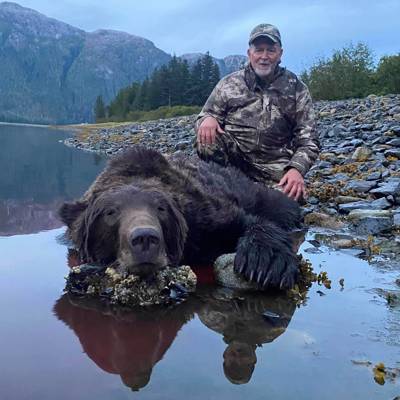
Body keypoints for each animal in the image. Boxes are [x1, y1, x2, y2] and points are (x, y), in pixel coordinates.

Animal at [59, 146, 302, 289]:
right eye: (110, 212)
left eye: (161, 208)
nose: (145, 238)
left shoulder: (206, 219)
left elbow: (250, 222)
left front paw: (265, 263)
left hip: (249, 188)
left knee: (280, 205)